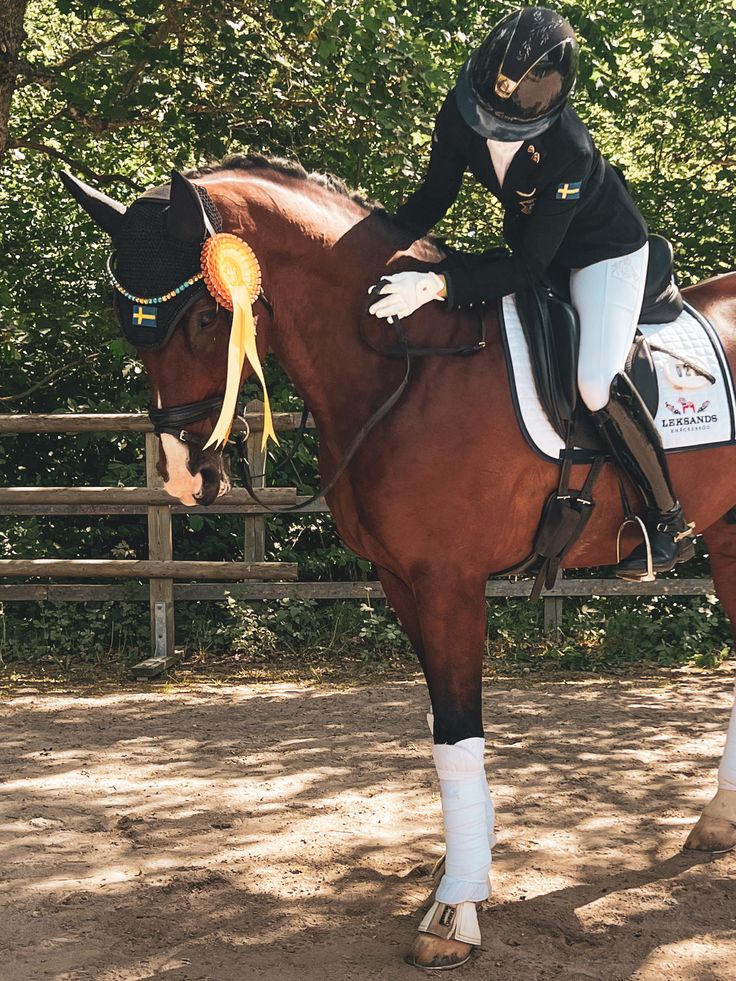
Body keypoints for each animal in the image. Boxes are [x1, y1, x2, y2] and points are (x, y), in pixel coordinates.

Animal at [66, 157, 732, 968]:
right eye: (125, 323)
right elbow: (443, 731)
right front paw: (461, 870)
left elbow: (458, 730)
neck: (405, 370)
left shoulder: (450, 583)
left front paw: (455, 909)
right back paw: (719, 819)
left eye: (200, 317)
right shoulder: (402, 581)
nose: (187, 477)